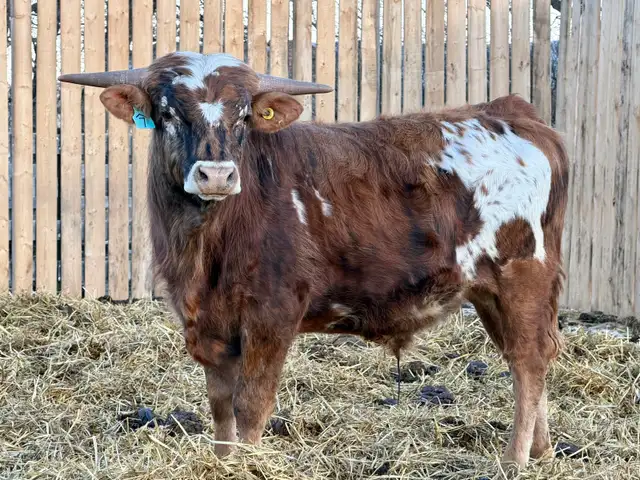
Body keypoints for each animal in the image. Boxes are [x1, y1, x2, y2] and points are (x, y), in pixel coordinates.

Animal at [59, 51, 569, 470]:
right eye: (166, 113)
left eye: (244, 116)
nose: (217, 175)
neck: (207, 250)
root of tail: (509, 112)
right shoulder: (211, 325)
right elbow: (221, 406)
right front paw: (223, 462)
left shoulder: (272, 316)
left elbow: (251, 405)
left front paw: (247, 464)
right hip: (489, 291)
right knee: (529, 357)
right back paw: (542, 450)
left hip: (522, 276)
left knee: (529, 360)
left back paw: (516, 459)